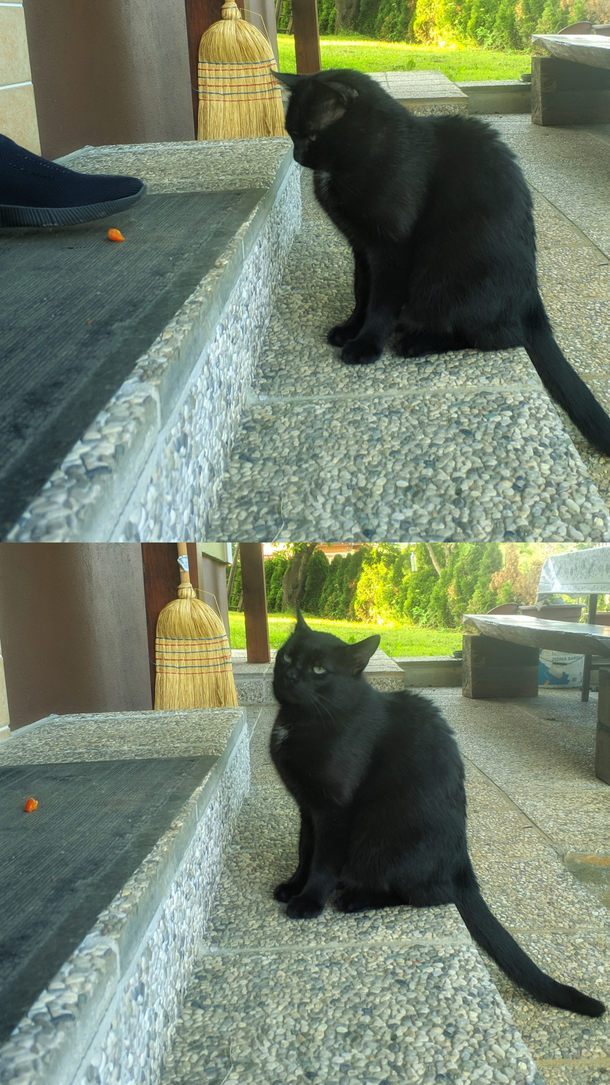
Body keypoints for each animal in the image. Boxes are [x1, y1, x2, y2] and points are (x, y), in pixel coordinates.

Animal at [270, 611, 603, 1015]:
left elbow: (323, 861)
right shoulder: (308, 807)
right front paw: (293, 885)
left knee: (429, 894)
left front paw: (309, 900)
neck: (298, 722)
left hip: (379, 838)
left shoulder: (335, 810)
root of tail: (463, 868)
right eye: (287, 656)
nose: (290, 674)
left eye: (319, 669)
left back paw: (356, 899)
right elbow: (305, 851)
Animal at [276, 67, 610, 457]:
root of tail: (532, 304)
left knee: (499, 337)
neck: (361, 157)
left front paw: (366, 344)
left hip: (443, 277)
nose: (297, 156)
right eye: (291, 133)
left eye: (311, 135)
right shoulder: (361, 246)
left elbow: (380, 302)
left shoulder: (392, 248)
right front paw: (349, 328)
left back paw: (416, 342)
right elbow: (362, 292)